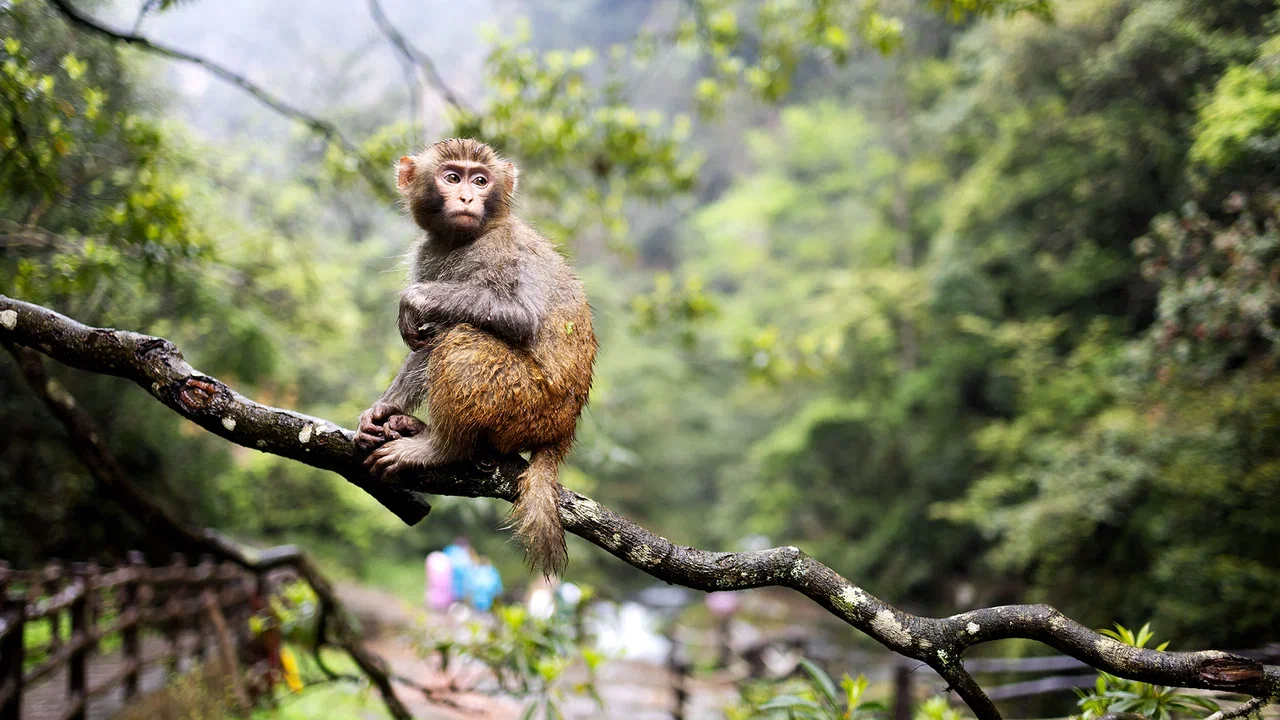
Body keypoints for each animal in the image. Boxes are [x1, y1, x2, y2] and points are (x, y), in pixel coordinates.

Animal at [354, 138, 597, 577]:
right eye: (453, 177)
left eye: (480, 181)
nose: (467, 197)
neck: (461, 240)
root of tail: (562, 431)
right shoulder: (428, 254)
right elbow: (425, 340)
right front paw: (383, 410)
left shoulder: (499, 253)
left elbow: (520, 317)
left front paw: (415, 299)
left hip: (526, 404)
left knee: (464, 339)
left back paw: (442, 448)